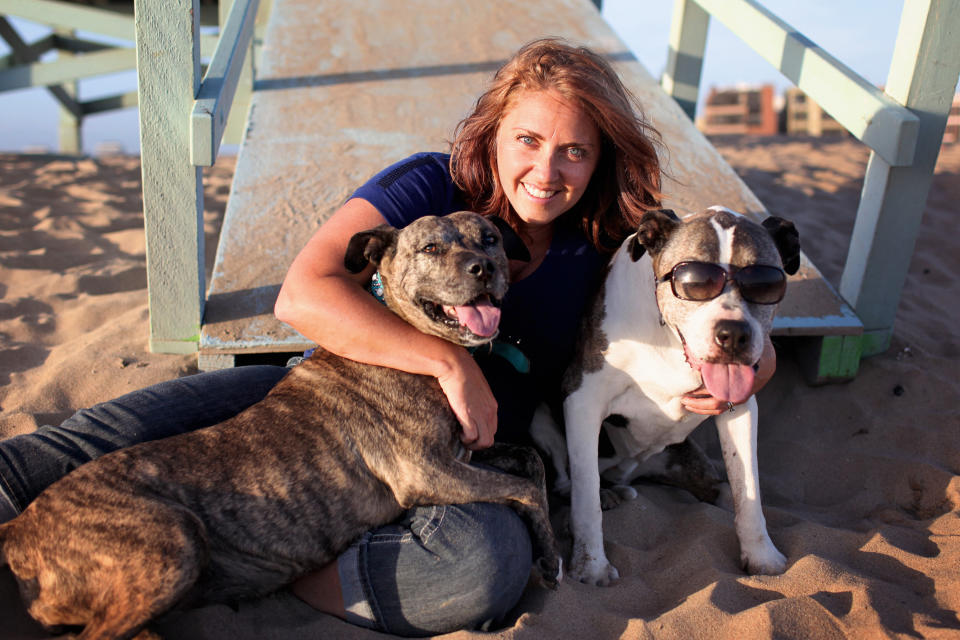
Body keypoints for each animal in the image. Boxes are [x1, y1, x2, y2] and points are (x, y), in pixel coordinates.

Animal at [0, 212, 560, 636]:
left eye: (489, 238)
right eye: (430, 247)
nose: (483, 268)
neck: (417, 349)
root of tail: (19, 529)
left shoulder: (467, 453)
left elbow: (532, 463)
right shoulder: (425, 471)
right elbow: (524, 489)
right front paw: (551, 558)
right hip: (171, 542)